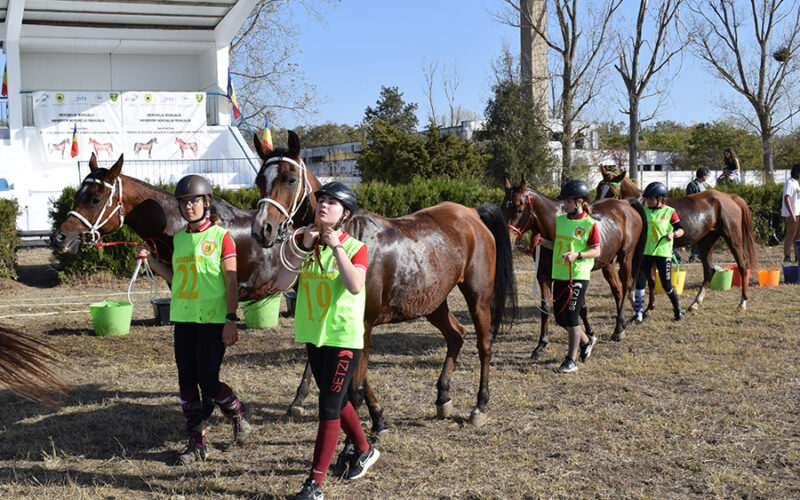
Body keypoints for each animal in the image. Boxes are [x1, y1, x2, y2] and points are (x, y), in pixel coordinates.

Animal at [247, 131, 516, 432]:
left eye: (291, 178)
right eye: (260, 181)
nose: (262, 230)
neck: (344, 238)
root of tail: (471, 213)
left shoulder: (363, 325)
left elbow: (357, 383)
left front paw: (373, 421)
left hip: (478, 296)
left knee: (484, 346)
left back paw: (479, 405)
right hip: (433, 302)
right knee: (456, 335)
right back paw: (443, 396)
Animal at [504, 174, 648, 358]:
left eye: (519, 209)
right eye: (502, 207)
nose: (508, 240)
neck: (554, 227)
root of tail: (625, 204)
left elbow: (580, 309)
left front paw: (589, 337)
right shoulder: (543, 275)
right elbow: (547, 307)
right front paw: (541, 345)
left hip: (626, 258)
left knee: (627, 286)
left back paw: (618, 330)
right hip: (608, 264)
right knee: (618, 290)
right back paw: (620, 324)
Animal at [592, 168, 760, 312]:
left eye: (612, 192)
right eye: (599, 188)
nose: (597, 209)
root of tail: (730, 197)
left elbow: (646, 279)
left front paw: (645, 306)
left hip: (733, 238)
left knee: (742, 266)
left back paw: (742, 302)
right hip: (705, 241)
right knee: (709, 270)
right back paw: (695, 304)